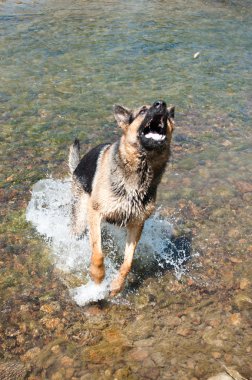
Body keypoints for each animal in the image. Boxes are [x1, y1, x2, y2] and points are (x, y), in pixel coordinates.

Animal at [69, 99, 175, 296]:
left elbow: (128, 263)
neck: (142, 168)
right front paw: (97, 277)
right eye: (142, 111)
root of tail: (77, 167)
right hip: (81, 219)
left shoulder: (136, 225)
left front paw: (117, 286)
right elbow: (98, 254)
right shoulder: (95, 213)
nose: (161, 103)